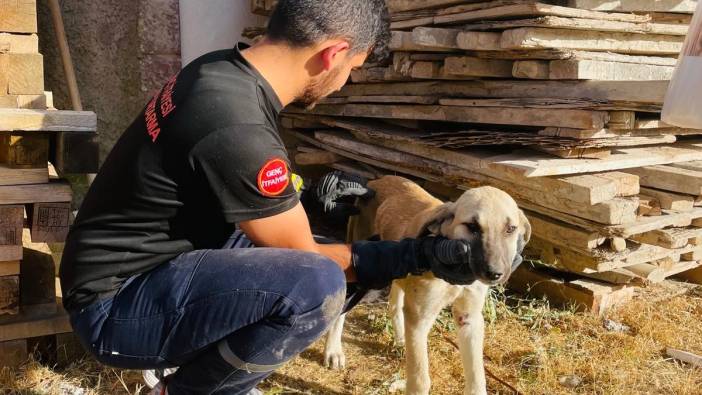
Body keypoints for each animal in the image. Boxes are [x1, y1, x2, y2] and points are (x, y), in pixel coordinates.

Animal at [326, 177, 532, 395]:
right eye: (472, 226)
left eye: (510, 229)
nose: (495, 273)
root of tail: (376, 181)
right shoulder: (419, 319)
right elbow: (420, 379)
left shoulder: (470, 318)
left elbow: (477, 377)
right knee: (341, 310)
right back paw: (333, 350)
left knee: (394, 305)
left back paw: (401, 339)